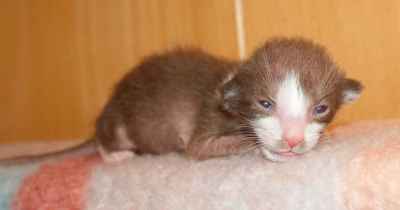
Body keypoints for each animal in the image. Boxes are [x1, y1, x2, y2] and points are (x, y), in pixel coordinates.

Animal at [96, 37, 362, 162]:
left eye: (321, 108)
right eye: (265, 104)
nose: (293, 140)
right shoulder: (206, 121)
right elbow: (201, 147)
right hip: (118, 121)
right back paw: (114, 155)